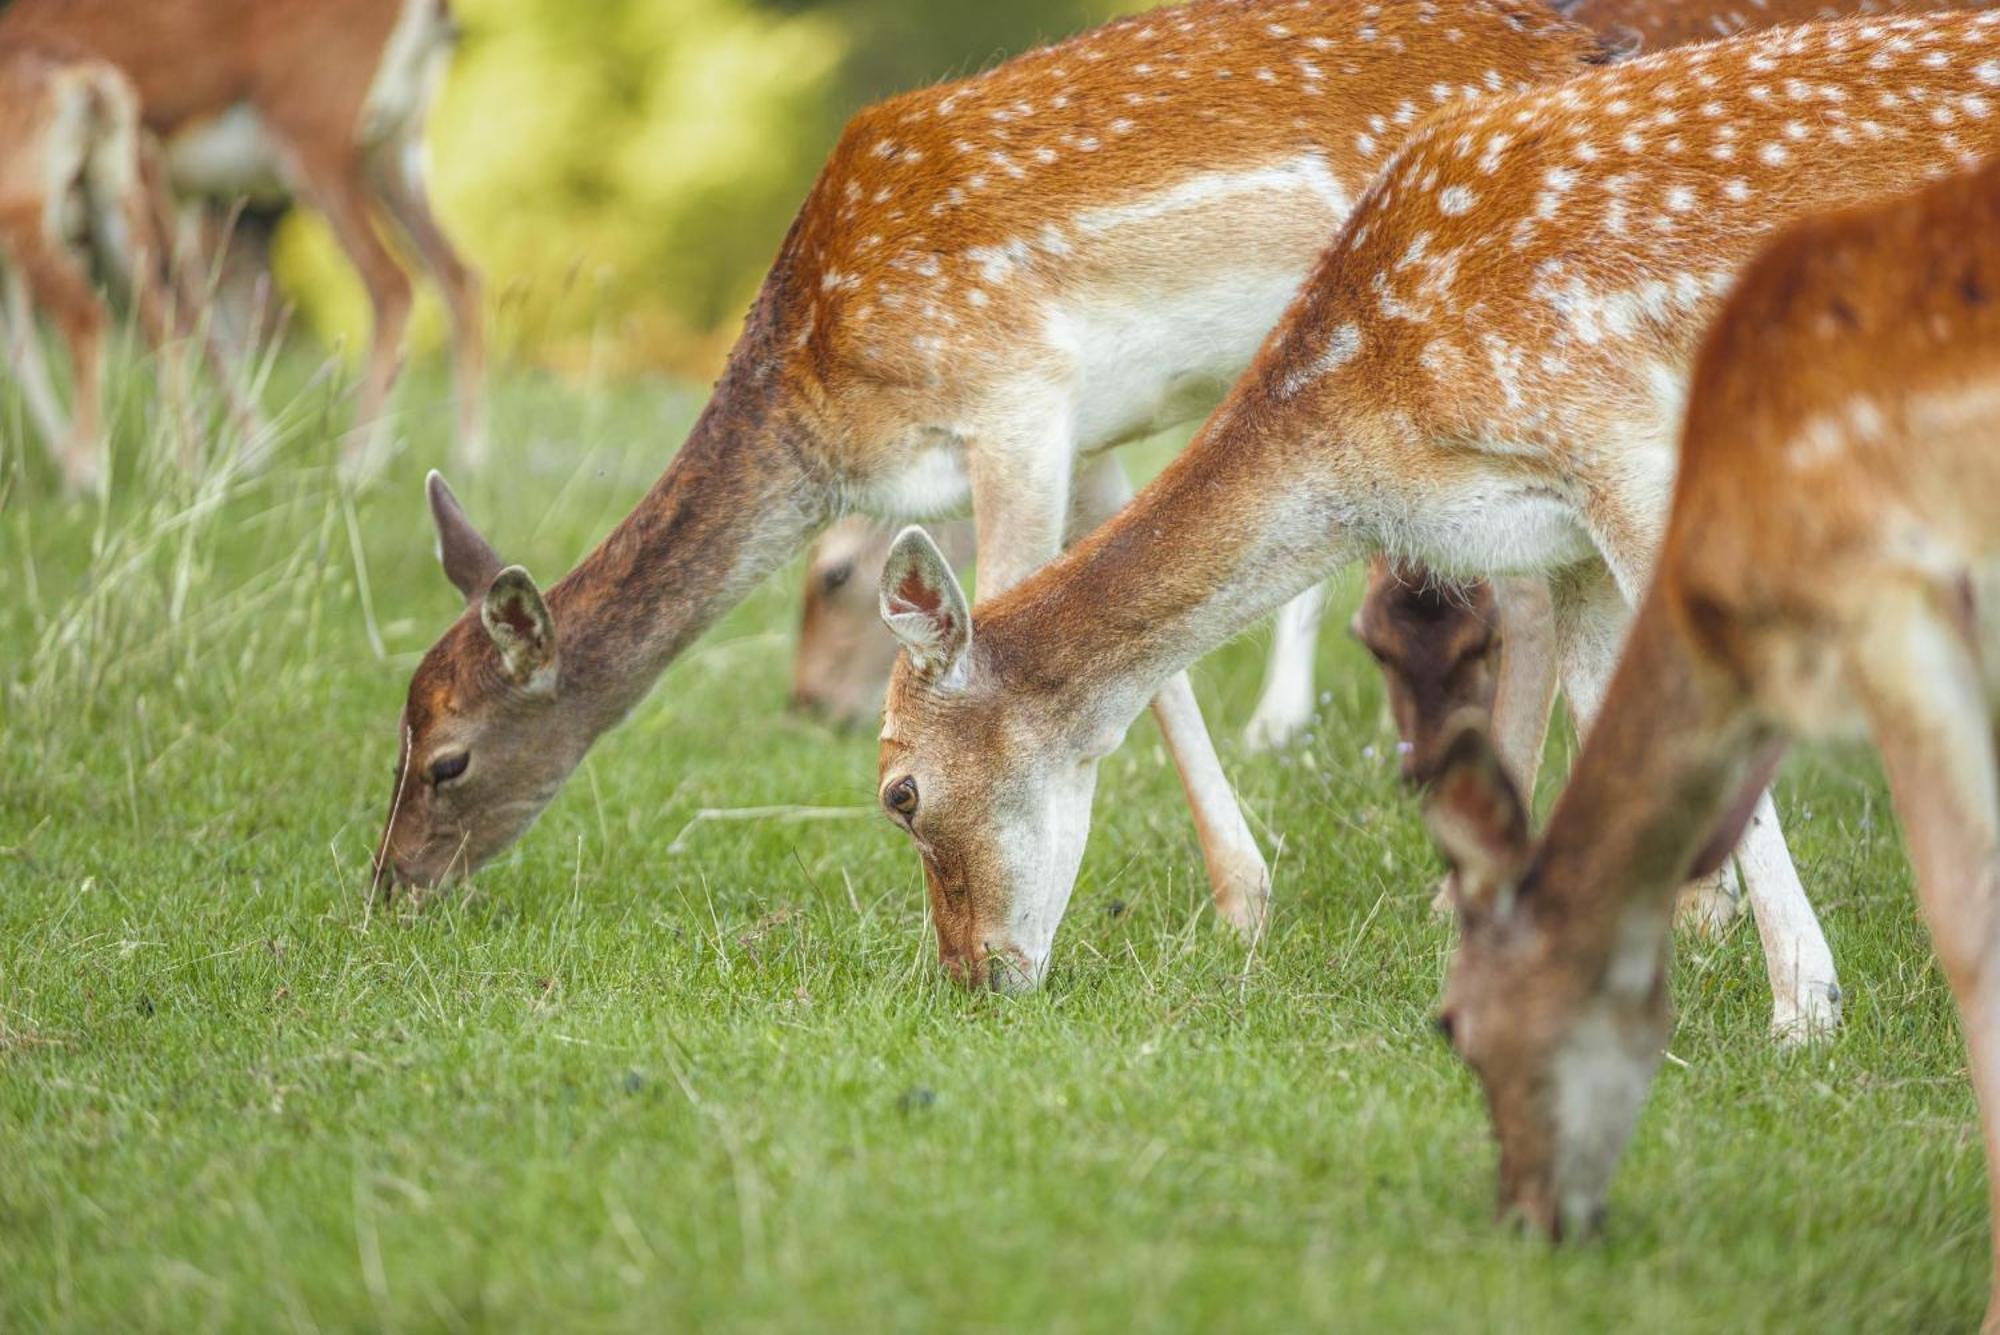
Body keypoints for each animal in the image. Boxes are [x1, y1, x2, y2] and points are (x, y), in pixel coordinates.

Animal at [1, 0, 492, 469]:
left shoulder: (145, 160)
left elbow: (181, 307)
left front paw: (231, 451)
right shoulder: (172, 191)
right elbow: (185, 308)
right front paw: (226, 448)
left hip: (315, 133)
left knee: (392, 283)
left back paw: (355, 464)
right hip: (395, 147)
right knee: (460, 275)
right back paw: (463, 460)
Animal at [368, 0, 1600, 939]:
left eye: (447, 761)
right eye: (400, 731)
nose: (387, 885)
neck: (830, 400)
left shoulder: (1013, 392)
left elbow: (1001, 617)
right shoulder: (1091, 430)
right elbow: (1145, 662)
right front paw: (1242, 905)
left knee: (1539, 597)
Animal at [872, 10, 2000, 1015]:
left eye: (899, 792)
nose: (970, 975)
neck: (1389, 430)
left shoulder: (1624, 449)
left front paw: (1804, 1009)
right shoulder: (1564, 532)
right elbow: (1605, 710)